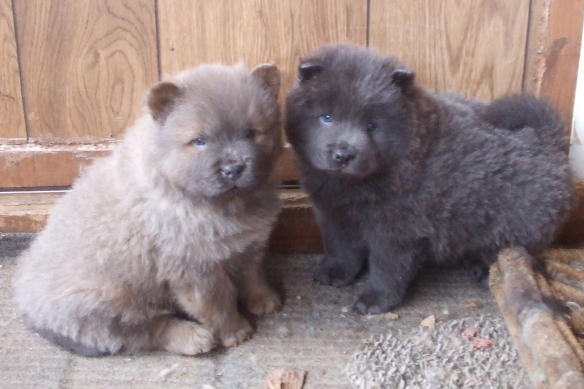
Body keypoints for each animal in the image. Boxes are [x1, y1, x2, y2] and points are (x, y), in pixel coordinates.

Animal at [14, 63, 284, 354]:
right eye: (200, 141)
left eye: (251, 133)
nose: (233, 168)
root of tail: (28, 306)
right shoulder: (197, 269)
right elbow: (218, 303)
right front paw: (236, 331)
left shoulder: (249, 243)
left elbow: (252, 274)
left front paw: (265, 300)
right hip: (109, 299)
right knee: (147, 330)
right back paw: (194, 338)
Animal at [288, 44, 576, 314]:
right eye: (327, 117)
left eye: (371, 125)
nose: (344, 154)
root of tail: (548, 140)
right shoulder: (335, 214)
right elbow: (342, 248)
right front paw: (335, 273)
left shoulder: (397, 229)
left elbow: (387, 268)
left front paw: (374, 300)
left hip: (519, 223)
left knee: (512, 250)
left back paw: (484, 270)